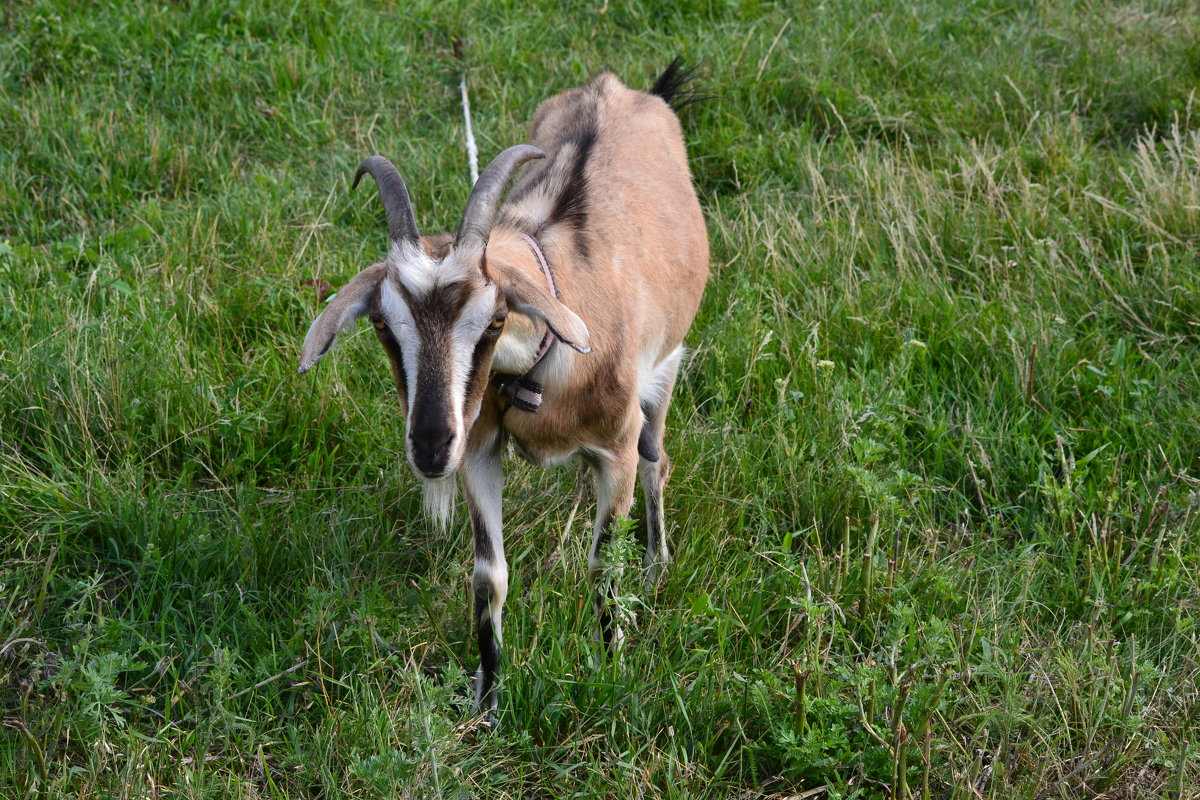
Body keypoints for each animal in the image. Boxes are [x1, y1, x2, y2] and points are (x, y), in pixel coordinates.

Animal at [298, 62, 705, 724]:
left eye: (492, 321)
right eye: (383, 323)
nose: (431, 446)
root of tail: (618, 86)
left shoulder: (614, 449)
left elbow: (603, 564)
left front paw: (612, 666)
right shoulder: (481, 449)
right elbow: (489, 577)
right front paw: (487, 704)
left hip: (664, 370)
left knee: (658, 462)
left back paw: (657, 567)